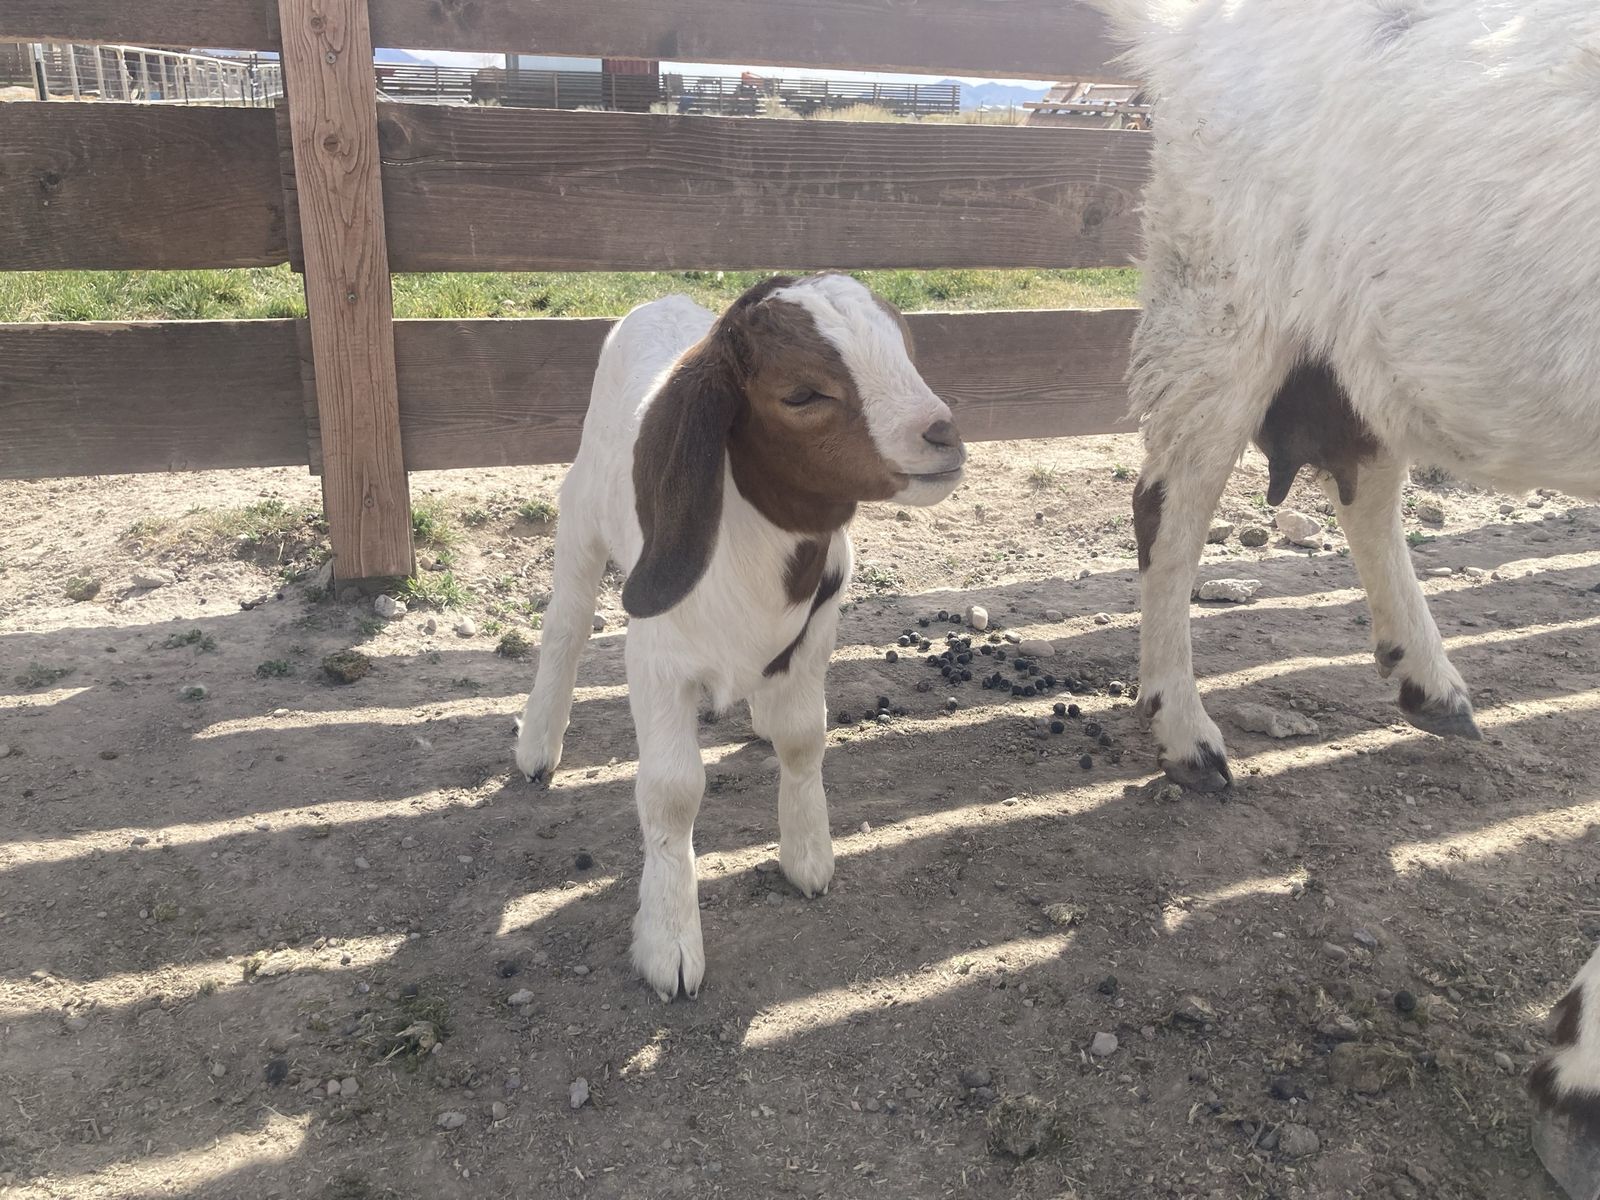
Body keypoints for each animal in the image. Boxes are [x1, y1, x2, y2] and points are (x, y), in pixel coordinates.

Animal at [513, 274, 965, 1000]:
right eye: (802, 393)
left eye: (906, 350)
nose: (944, 436)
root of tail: (663, 300)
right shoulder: (657, 658)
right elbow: (671, 792)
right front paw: (669, 942)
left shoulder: (814, 637)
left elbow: (804, 738)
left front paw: (808, 856)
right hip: (581, 514)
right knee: (566, 626)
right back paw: (536, 748)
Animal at [1091, 0, 1600, 1187]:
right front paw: (1581, 1074)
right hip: (1220, 286)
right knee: (1169, 505)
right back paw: (1185, 732)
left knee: (1363, 471)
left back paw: (1428, 682)